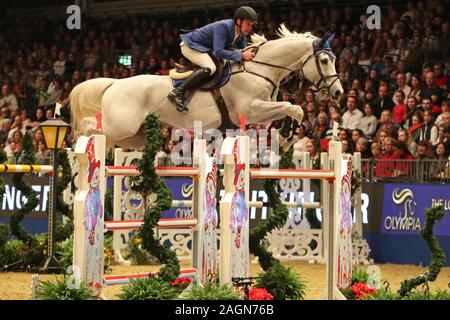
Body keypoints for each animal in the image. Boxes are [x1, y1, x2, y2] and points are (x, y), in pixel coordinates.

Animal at [72, 24, 342, 150]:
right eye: (324, 60)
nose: (338, 92)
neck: (260, 68)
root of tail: (114, 83)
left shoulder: (262, 109)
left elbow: (293, 108)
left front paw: (288, 136)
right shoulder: (251, 110)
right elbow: (292, 107)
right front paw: (287, 138)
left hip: (132, 136)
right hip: (121, 125)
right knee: (90, 126)